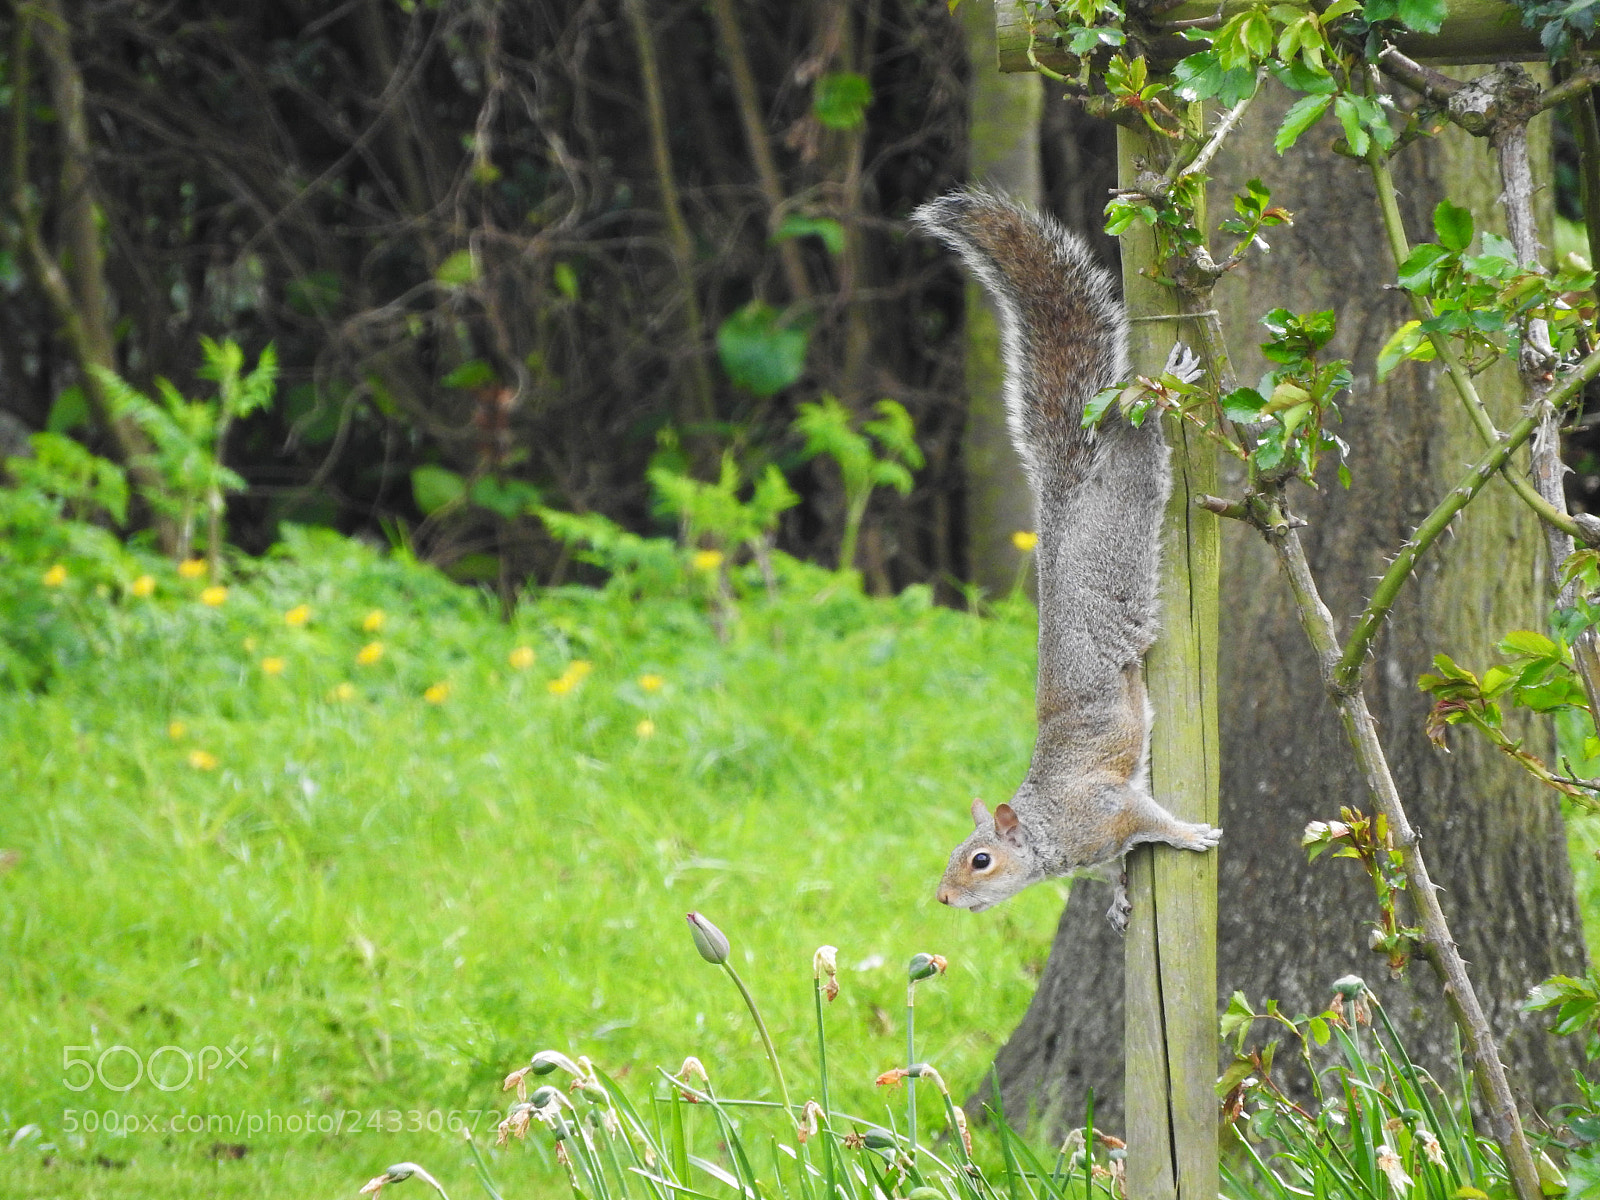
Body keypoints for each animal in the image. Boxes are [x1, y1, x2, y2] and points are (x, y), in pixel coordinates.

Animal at [911, 188, 1221, 931]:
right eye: (954, 854)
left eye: (981, 860)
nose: (943, 898)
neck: (1049, 831)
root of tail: (1064, 503)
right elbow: (1121, 862)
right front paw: (1119, 899)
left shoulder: (1110, 806)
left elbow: (1151, 820)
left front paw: (1190, 834)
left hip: (1123, 511)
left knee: (1136, 439)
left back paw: (1161, 391)